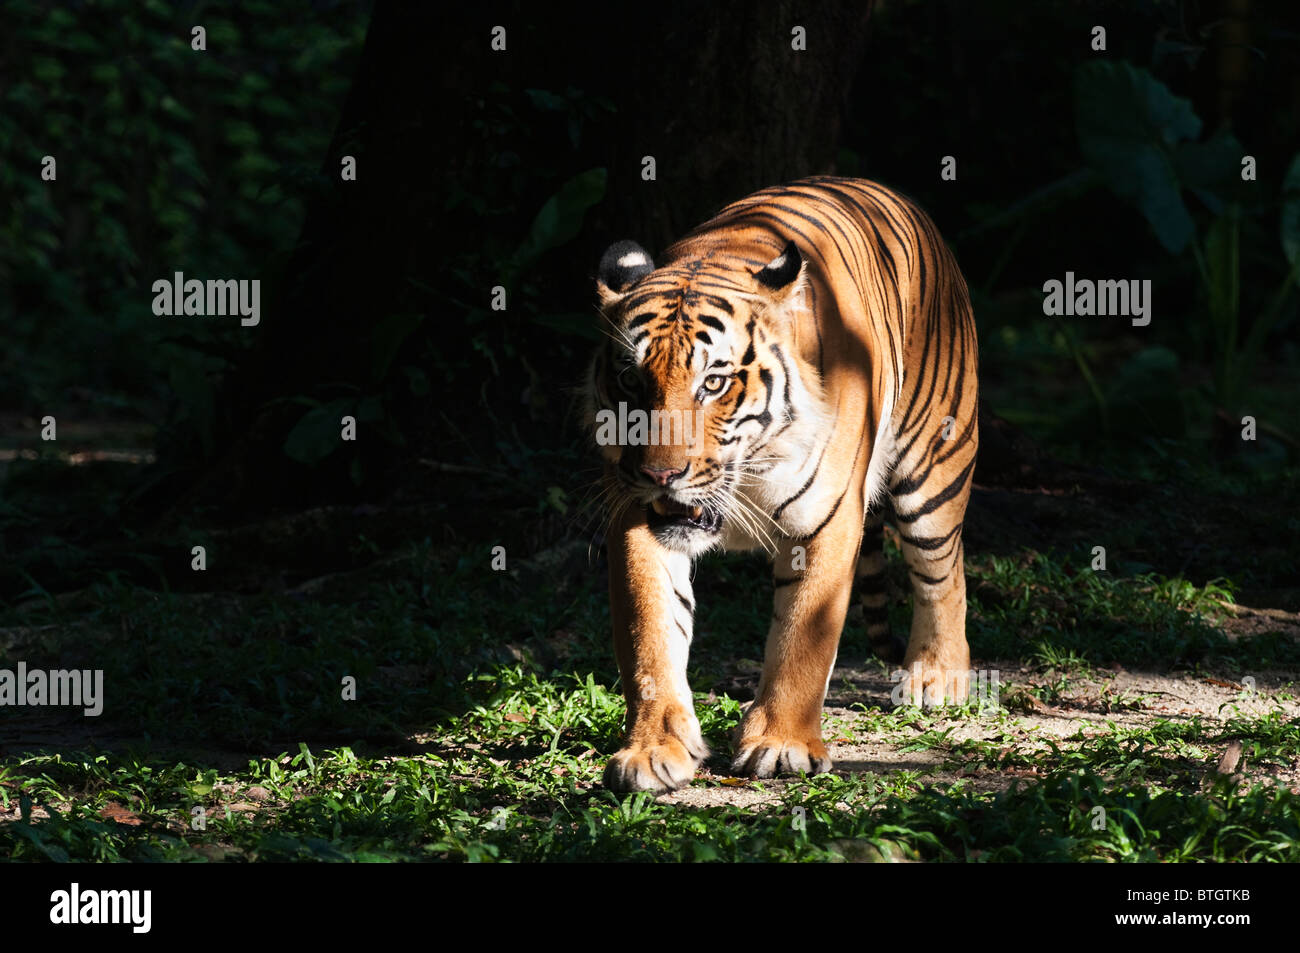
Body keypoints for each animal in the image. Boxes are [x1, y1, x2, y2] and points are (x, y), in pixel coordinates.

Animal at [585, 174, 977, 790]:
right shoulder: (636, 519)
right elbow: (649, 636)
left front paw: (781, 744)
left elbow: (803, 639)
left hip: (933, 474)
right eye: (631, 381)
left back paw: (937, 677)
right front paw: (653, 750)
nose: (659, 474)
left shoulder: (827, 522)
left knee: (944, 570)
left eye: (714, 383)